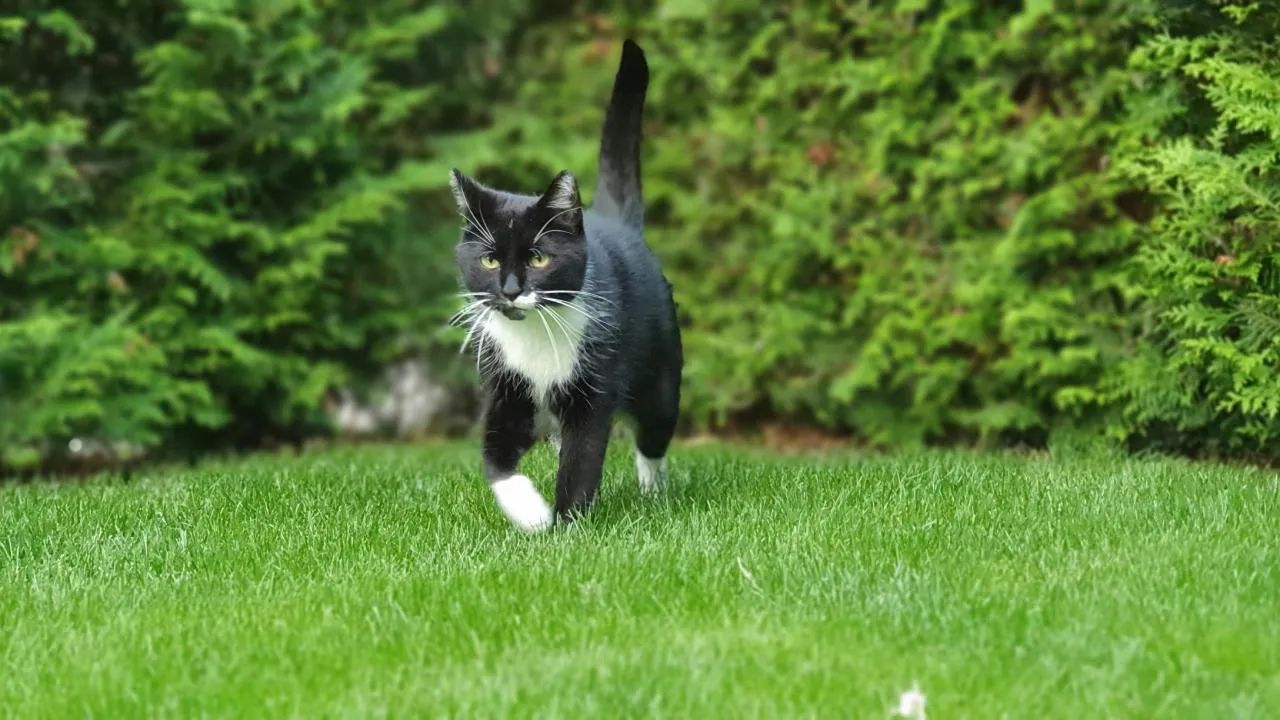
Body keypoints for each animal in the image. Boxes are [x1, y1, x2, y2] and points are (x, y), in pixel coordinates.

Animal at [445, 40, 680, 532]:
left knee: (654, 432)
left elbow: (582, 458)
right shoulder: (504, 383)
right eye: (489, 259)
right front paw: (532, 513)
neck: (535, 337)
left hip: (661, 368)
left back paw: (653, 491)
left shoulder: (594, 386)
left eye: (538, 258)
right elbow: (494, 454)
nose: (511, 289)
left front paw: (568, 525)